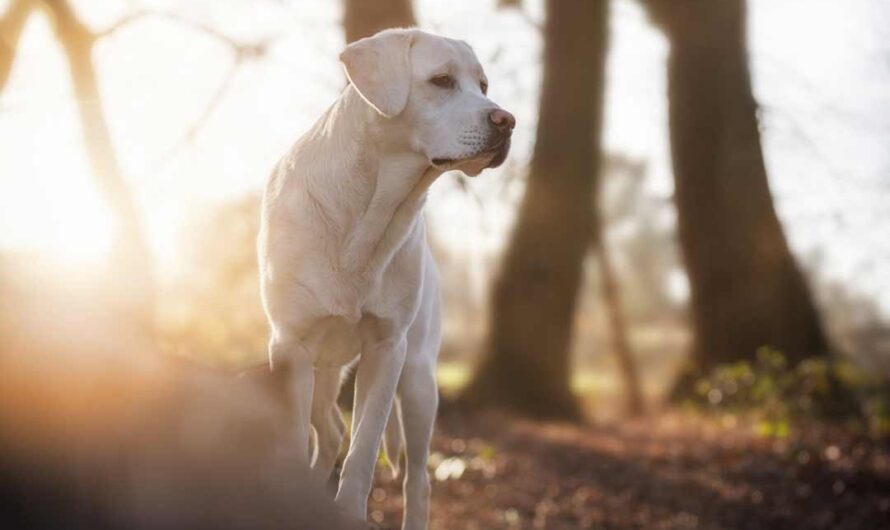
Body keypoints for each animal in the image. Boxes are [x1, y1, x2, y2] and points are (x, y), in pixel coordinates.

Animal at [256, 28, 512, 528]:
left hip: (418, 381)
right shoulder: (290, 346)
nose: (507, 120)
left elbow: (363, 449)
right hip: (323, 370)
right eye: (442, 80)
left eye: (483, 86)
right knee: (330, 432)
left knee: (416, 478)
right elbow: (297, 444)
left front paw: (350, 510)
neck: (369, 211)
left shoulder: (386, 348)